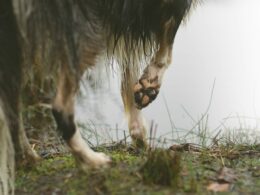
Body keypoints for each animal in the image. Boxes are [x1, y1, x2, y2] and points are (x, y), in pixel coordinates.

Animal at [0, 0, 199, 194]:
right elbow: (169, 38)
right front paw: (150, 84)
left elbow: (129, 72)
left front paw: (140, 135)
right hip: (81, 27)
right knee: (59, 107)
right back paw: (91, 160)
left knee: (12, 108)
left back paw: (28, 158)